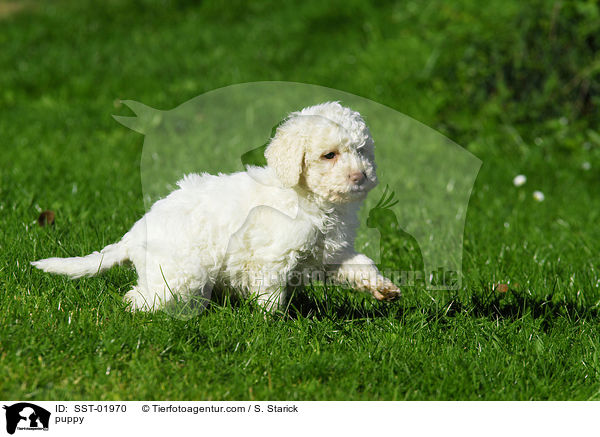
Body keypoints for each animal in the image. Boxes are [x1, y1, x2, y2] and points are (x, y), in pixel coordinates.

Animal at [31, 101, 398, 310]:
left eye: (362, 151)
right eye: (329, 155)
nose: (361, 176)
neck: (306, 198)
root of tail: (133, 235)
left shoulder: (329, 253)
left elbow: (361, 264)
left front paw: (383, 289)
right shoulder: (271, 259)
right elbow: (271, 296)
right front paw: (273, 326)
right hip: (181, 272)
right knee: (143, 297)